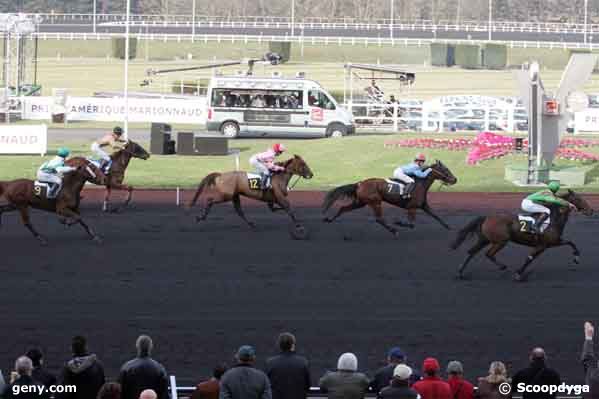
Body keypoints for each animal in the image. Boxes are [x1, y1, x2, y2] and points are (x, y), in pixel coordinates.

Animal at [324, 160, 460, 238]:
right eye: (446, 169)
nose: (455, 179)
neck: (420, 184)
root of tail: (360, 183)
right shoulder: (412, 207)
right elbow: (411, 224)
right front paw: (398, 222)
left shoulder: (423, 205)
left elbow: (436, 215)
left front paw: (449, 227)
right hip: (376, 202)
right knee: (379, 219)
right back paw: (394, 230)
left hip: (360, 202)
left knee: (343, 208)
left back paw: (329, 219)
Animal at [452, 190, 592, 282]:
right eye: (579, 199)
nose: (591, 211)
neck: (553, 218)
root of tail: (487, 217)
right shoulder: (543, 245)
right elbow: (530, 258)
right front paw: (519, 274)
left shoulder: (553, 242)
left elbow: (571, 242)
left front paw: (576, 258)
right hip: (501, 241)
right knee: (488, 254)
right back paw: (502, 266)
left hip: (484, 239)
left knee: (471, 252)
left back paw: (460, 273)